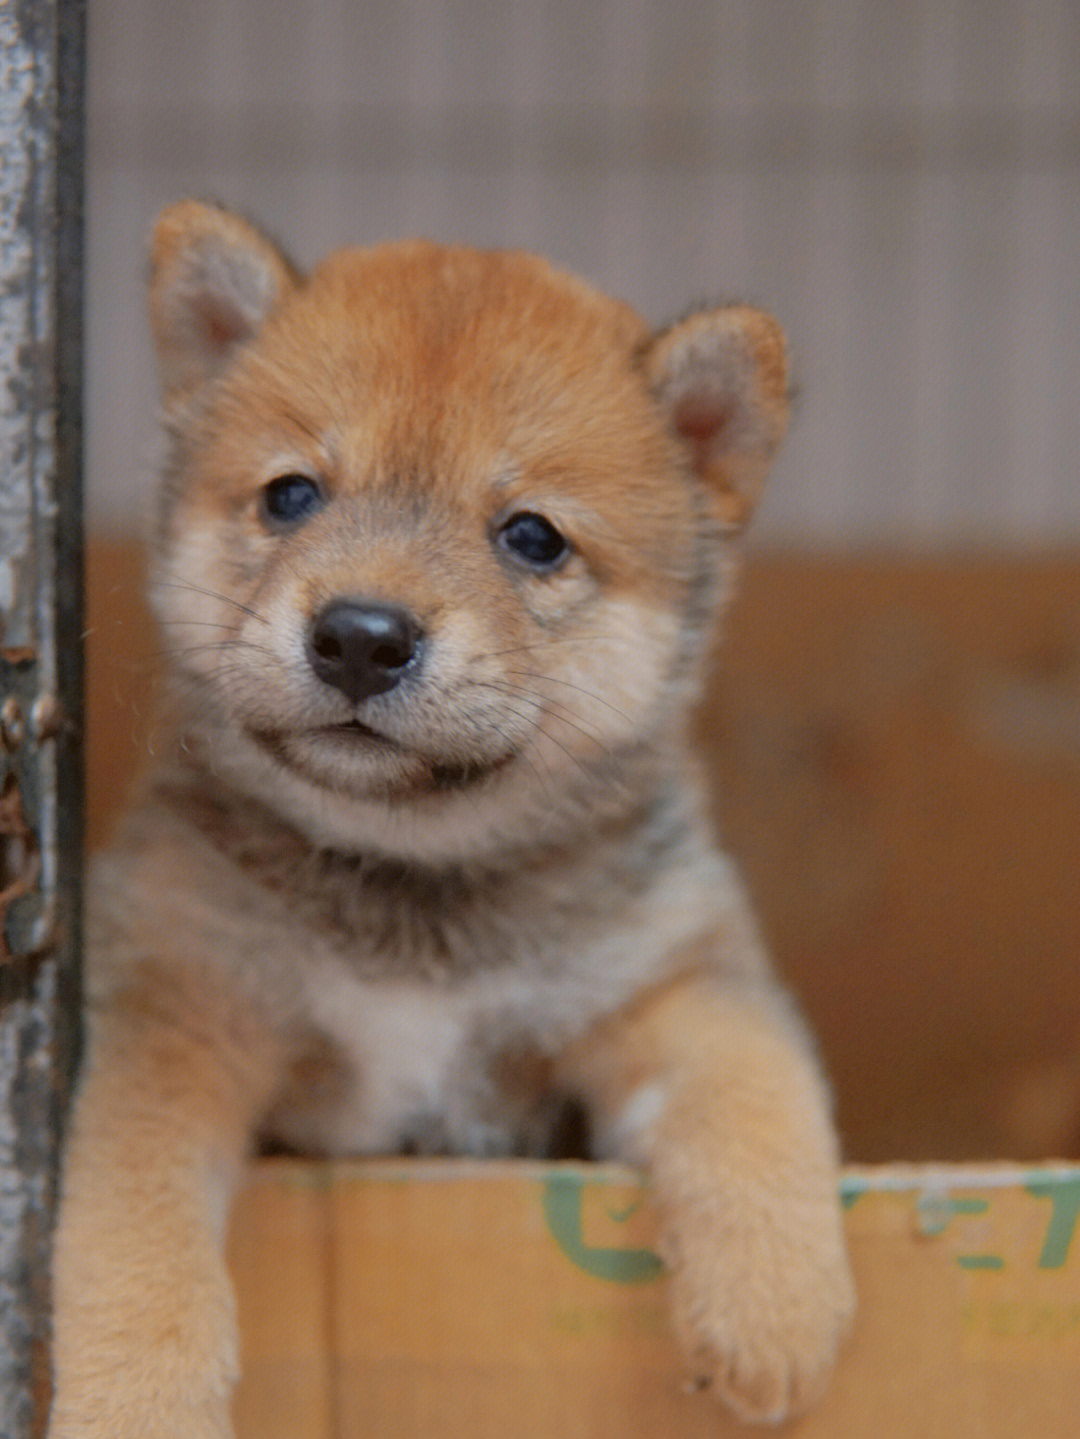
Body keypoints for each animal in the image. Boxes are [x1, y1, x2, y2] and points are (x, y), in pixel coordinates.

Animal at [50, 205, 857, 1439]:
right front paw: (135, 1405)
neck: (412, 889)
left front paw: (776, 1311)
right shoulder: (183, 1014)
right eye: (291, 495)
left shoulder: (662, 981)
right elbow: (136, 1237)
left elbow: (754, 1092)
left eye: (532, 537)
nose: (360, 635)